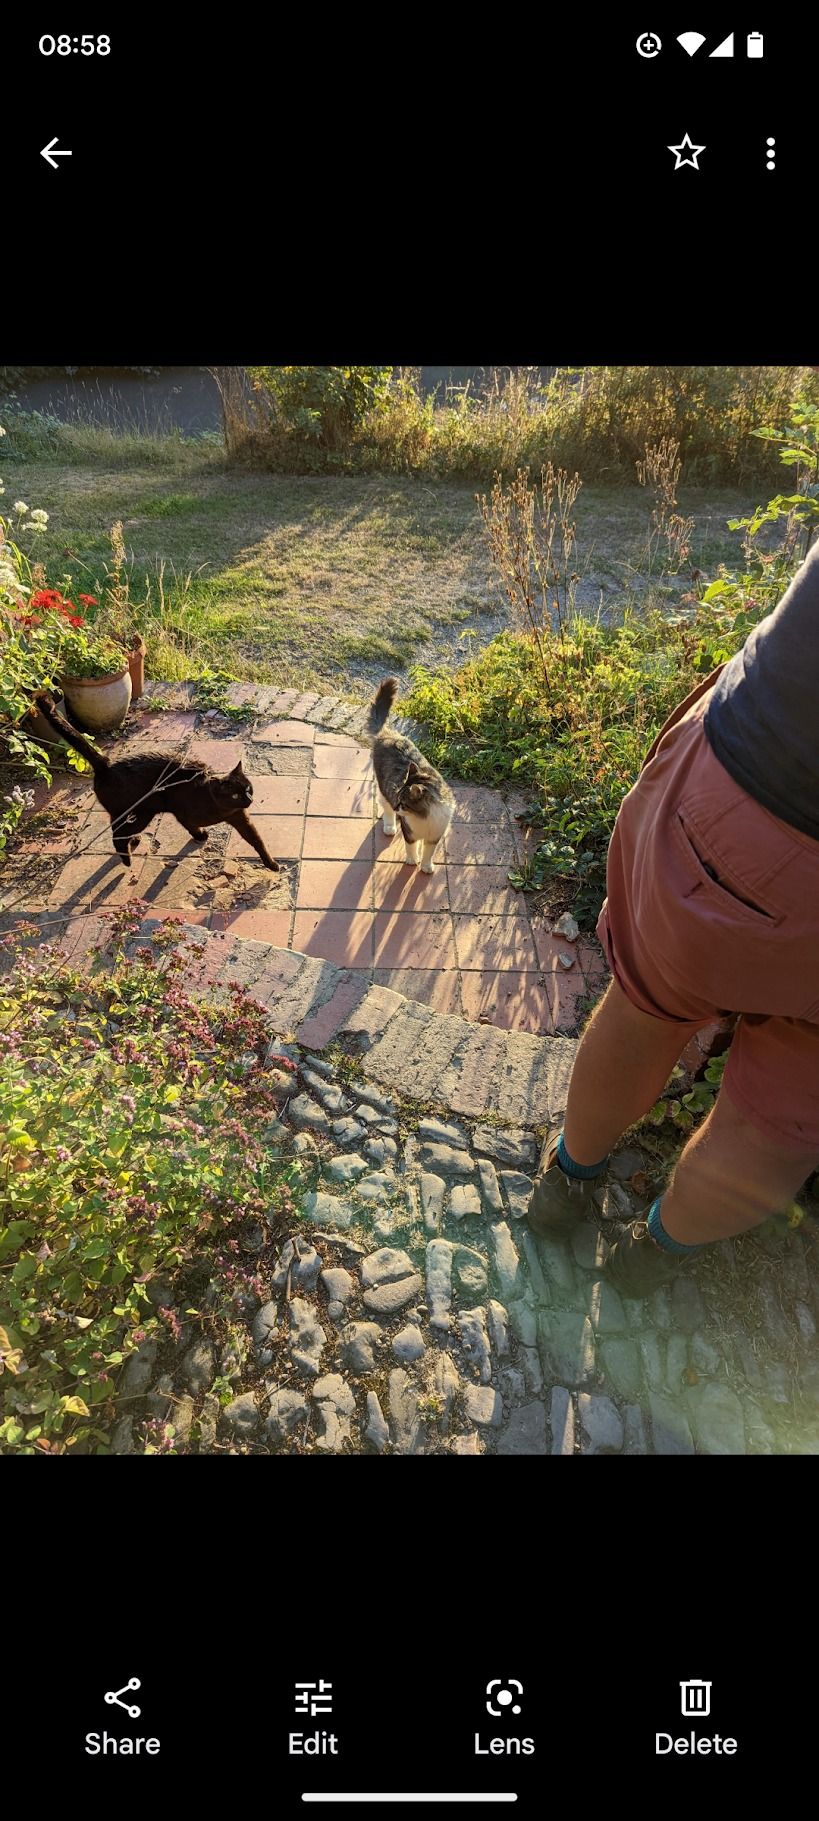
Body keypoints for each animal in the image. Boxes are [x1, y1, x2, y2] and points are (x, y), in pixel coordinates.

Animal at [35, 691, 278, 870]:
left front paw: (271, 864)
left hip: (132, 812)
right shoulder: (183, 811)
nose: (249, 801)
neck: (219, 808)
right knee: (117, 834)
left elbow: (258, 842)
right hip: (141, 812)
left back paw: (132, 843)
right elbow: (191, 825)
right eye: (236, 794)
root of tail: (106, 763)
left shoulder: (241, 820)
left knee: (119, 828)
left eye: (249, 789)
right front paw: (201, 835)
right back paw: (127, 859)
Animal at [365, 681, 455, 870]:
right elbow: (411, 847)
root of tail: (387, 734)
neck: (425, 819)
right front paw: (413, 860)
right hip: (383, 789)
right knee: (385, 809)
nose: (396, 806)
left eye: (404, 803)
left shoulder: (435, 835)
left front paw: (426, 867)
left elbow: (428, 853)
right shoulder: (409, 831)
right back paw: (390, 826)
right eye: (399, 799)